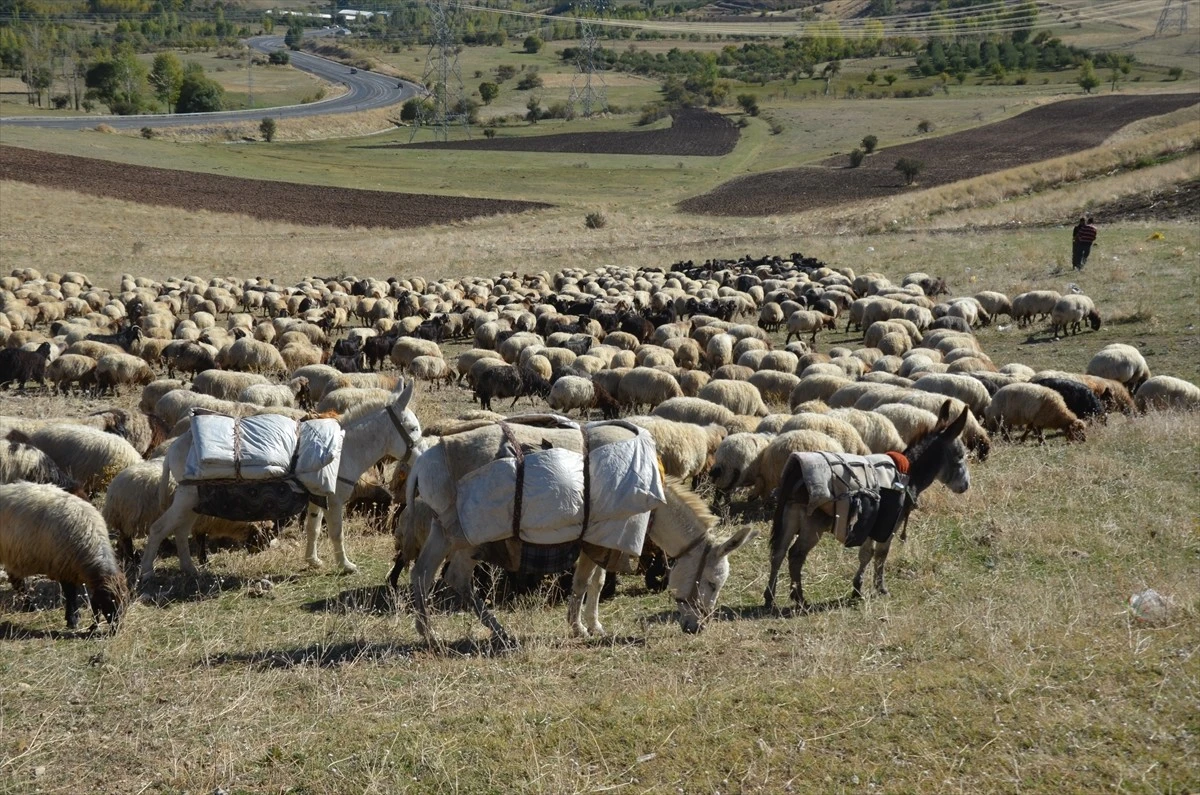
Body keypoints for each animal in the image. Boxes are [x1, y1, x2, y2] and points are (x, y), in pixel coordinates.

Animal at [0, 482, 129, 634]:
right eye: (110, 604)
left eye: (124, 604)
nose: (116, 631)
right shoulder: (63, 565)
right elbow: (70, 594)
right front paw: (72, 619)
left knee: (16, 580)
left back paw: (30, 606)